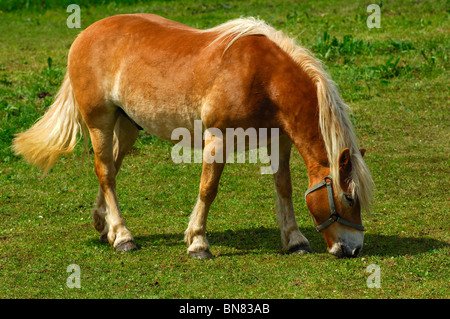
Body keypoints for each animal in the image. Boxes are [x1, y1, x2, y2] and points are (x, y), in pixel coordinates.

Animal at [12, 14, 374, 260]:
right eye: (349, 198)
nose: (353, 249)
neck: (263, 77)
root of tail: (86, 34)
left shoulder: (279, 140)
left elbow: (283, 187)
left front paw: (294, 239)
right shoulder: (218, 140)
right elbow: (208, 189)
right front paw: (198, 242)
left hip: (127, 126)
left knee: (111, 169)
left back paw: (107, 228)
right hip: (99, 121)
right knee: (105, 173)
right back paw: (124, 237)